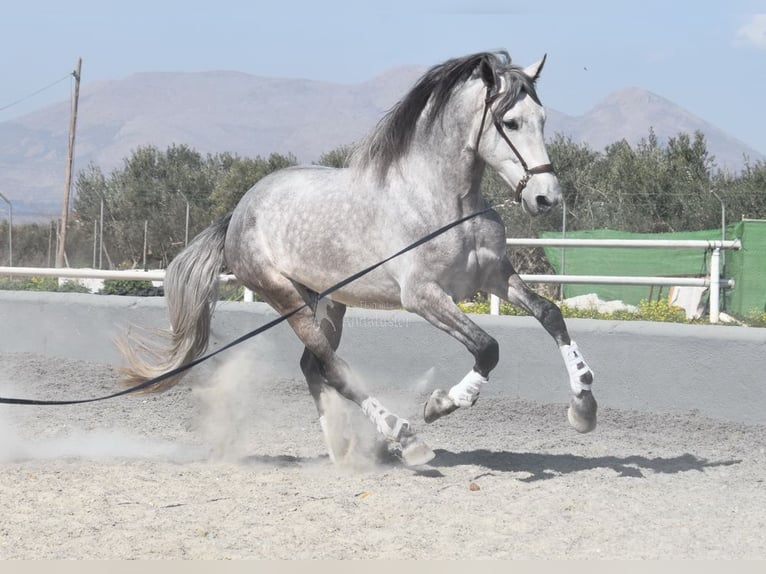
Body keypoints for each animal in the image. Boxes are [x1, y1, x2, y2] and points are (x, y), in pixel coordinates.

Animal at [120, 50, 600, 468]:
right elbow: (488, 347)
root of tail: (239, 212)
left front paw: (584, 406)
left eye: (543, 119)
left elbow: (550, 314)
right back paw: (404, 437)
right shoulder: (422, 296)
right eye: (510, 122)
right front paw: (442, 403)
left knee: (313, 367)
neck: (446, 203)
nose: (546, 198)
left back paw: (343, 449)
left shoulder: (495, 277)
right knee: (333, 369)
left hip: (329, 301)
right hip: (285, 297)